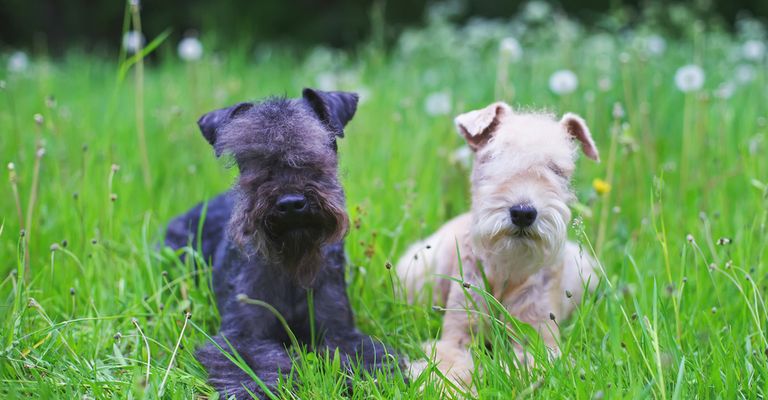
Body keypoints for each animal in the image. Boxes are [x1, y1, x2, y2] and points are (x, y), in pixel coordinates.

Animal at [165, 87, 392, 396]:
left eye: (321, 146)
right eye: (251, 158)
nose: (291, 203)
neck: (292, 264)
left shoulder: (339, 331)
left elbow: (362, 355)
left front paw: (371, 381)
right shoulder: (243, 335)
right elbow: (254, 363)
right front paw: (257, 388)